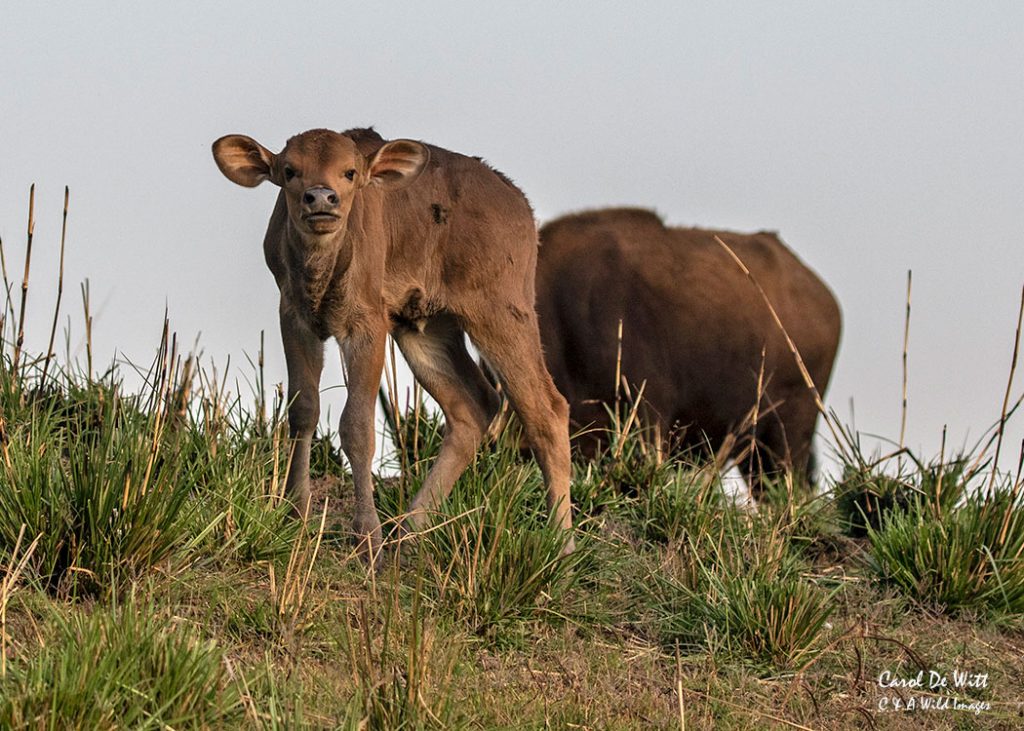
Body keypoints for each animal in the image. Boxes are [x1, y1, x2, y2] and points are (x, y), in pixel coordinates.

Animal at [212, 128, 573, 562]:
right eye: (289, 170)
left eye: (350, 172)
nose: (321, 198)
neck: (321, 275)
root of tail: (518, 203)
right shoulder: (295, 317)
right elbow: (303, 410)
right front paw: (294, 514)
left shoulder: (368, 324)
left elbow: (357, 425)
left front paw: (368, 539)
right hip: (425, 327)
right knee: (474, 405)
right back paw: (408, 529)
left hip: (503, 310)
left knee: (545, 409)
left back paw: (562, 548)